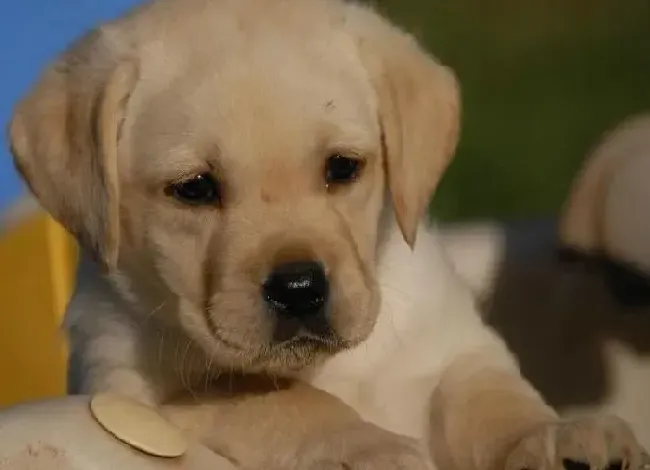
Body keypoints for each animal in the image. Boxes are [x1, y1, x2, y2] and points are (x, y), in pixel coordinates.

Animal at [7, 0, 644, 468]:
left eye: (342, 168)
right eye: (194, 189)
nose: (299, 289)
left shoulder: (455, 350)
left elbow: (491, 401)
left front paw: (558, 438)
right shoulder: (139, 393)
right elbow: (271, 399)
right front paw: (372, 447)